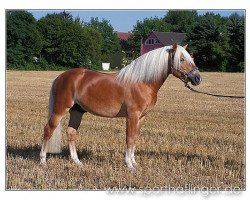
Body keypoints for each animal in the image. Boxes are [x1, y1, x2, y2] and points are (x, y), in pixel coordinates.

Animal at [40, 43, 202, 170]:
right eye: (182, 59)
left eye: (191, 58)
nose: (197, 78)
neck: (142, 82)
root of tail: (60, 77)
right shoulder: (133, 115)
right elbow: (129, 138)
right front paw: (129, 165)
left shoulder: (142, 117)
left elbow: (135, 138)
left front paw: (134, 163)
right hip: (61, 109)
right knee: (48, 130)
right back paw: (43, 161)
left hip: (77, 111)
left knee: (71, 132)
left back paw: (77, 161)